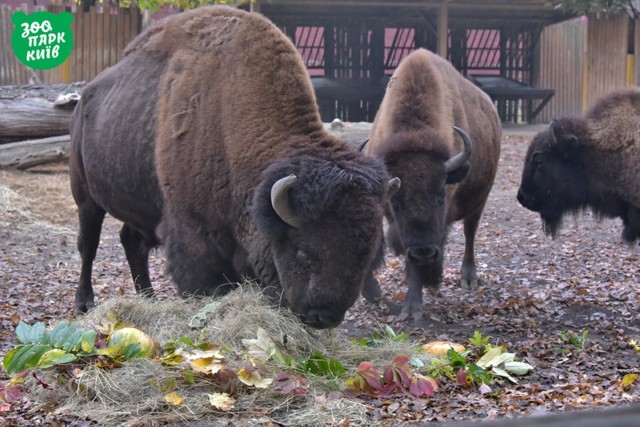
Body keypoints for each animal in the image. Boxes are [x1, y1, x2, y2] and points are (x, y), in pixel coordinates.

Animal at [70, 5, 400, 330]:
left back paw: (148, 299)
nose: (324, 317)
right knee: (89, 244)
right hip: (84, 195)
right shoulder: (193, 238)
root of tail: (84, 98)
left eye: (369, 254)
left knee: (132, 241)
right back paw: (84, 303)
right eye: (302, 251)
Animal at [362, 48, 502, 320]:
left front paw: (412, 307)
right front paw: (372, 292)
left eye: (440, 196)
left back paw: (467, 278)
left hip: (480, 200)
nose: (423, 252)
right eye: (396, 203)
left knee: (470, 233)